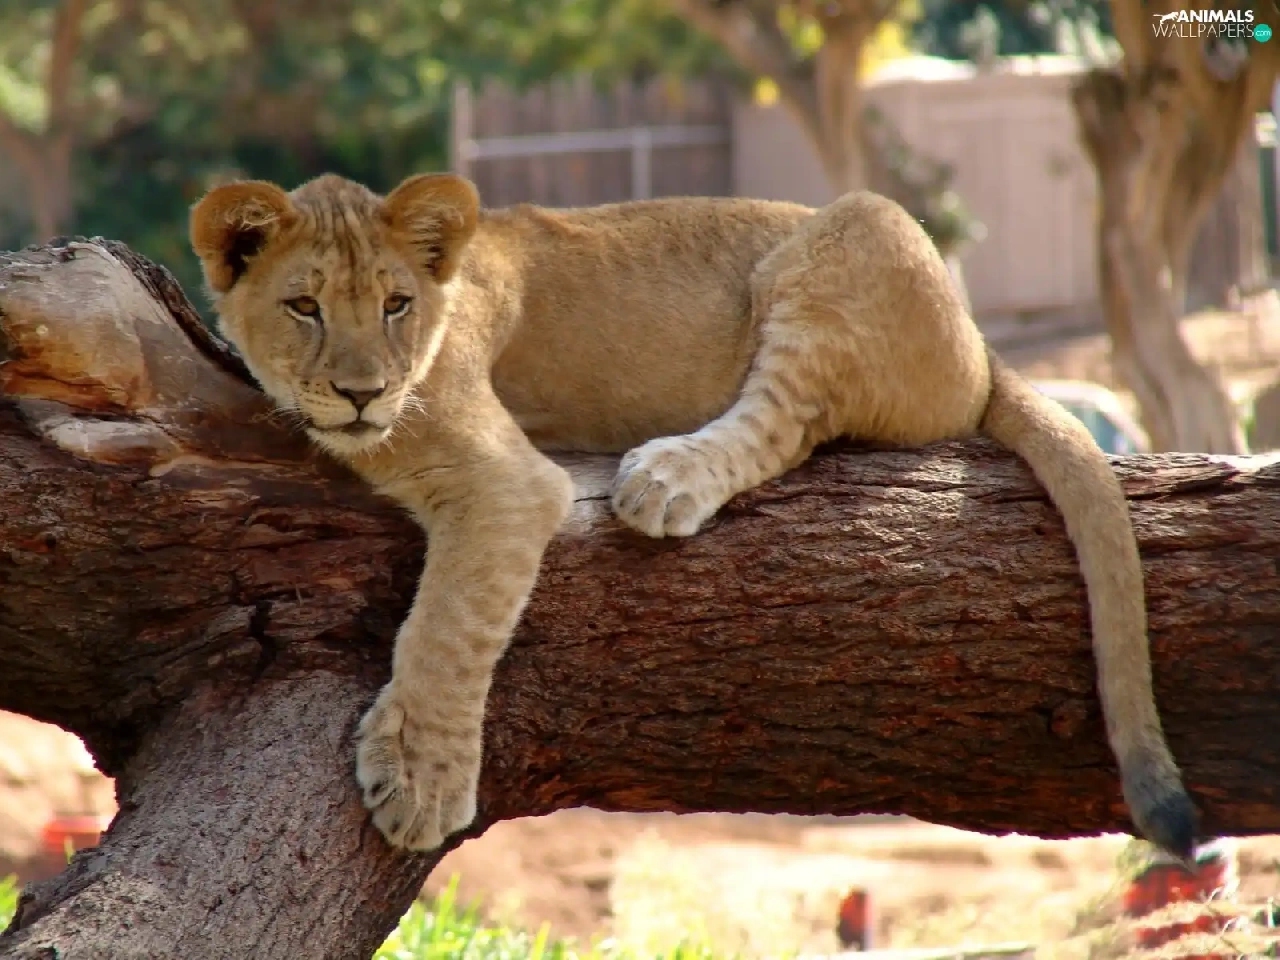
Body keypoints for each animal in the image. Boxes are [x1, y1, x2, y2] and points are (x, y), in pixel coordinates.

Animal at [189, 171, 1196, 859]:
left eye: (397, 305)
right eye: (304, 307)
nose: (363, 394)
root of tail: (985, 351)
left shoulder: (508, 479)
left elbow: (448, 624)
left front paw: (419, 780)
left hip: (848, 235)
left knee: (787, 421)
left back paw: (666, 477)